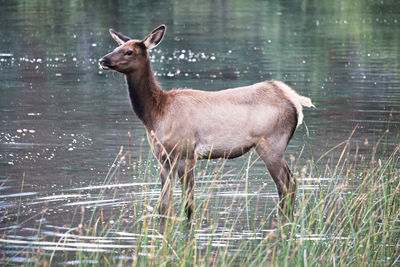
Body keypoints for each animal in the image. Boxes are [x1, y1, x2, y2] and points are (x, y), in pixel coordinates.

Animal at [98, 24, 314, 222]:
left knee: (286, 184)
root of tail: (294, 100)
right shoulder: (164, 159)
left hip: (271, 143)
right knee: (291, 182)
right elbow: (163, 206)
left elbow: (188, 205)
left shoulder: (186, 153)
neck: (156, 115)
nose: (103, 60)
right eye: (117, 46)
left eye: (129, 51)